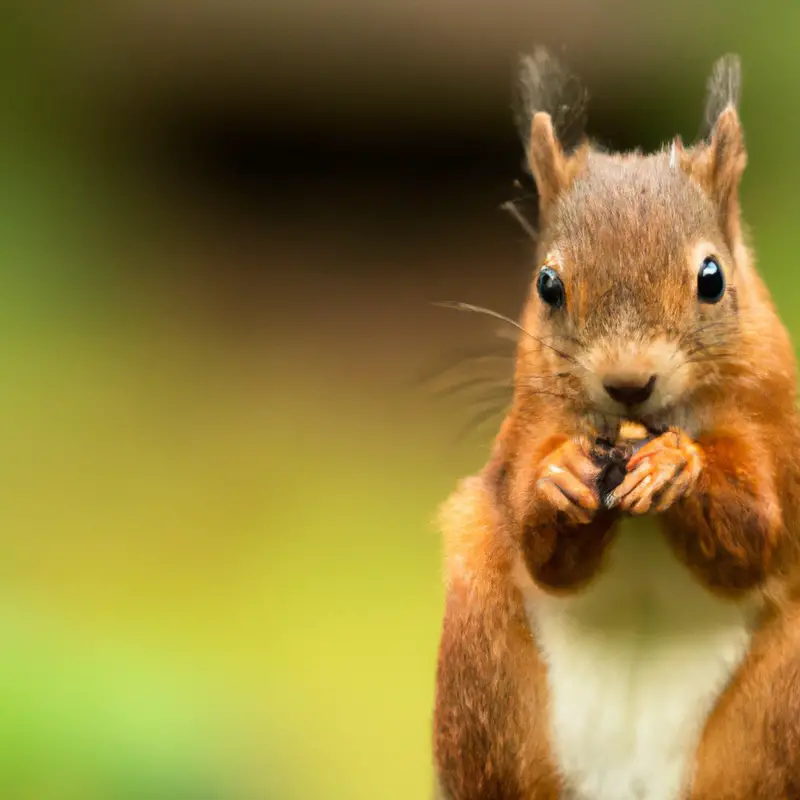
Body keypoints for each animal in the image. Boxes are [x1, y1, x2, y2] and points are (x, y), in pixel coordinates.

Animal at [434, 50, 800, 800]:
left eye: (713, 278)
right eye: (547, 285)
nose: (629, 383)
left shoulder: (773, 423)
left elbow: (755, 533)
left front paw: (679, 467)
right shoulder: (529, 423)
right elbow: (545, 556)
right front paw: (560, 477)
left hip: (774, 719)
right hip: (481, 672)